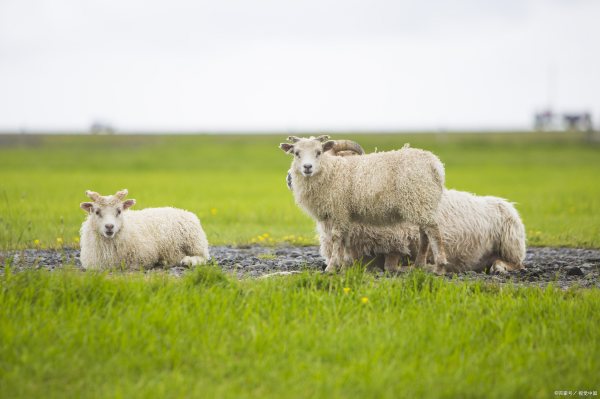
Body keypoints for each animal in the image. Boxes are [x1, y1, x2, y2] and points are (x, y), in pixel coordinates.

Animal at [77, 189, 210, 270]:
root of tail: (184, 211)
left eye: (119, 211)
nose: (109, 226)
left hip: (194, 243)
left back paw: (188, 261)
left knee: (202, 257)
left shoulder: (143, 258)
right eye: (97, 212)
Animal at [278, 136, 448, 274]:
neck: (332, 171)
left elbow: (336, 238)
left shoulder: (338, 210)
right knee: (424, 234)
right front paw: (345, 266)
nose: (307, 167)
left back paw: (439, 267)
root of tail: (436, 165)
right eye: (296, 153)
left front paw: (332, 267)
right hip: (421, 203)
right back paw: (419, 265)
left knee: (433, 231)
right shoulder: (345, 214)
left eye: (319, 152)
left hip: (419, 199)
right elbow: (345, 240)